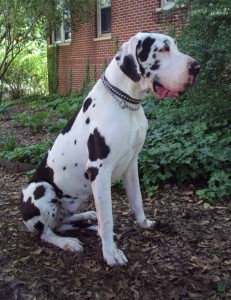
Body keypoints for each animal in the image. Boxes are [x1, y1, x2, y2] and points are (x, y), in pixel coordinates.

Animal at [20, 32, 200, 266]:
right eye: (163, 49)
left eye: (175, 46)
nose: (196, 67)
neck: (126, 103)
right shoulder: (100, 171)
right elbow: (107, 218)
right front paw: (110, 252)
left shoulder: (132, 163)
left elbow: (137, 200)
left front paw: (144, 223)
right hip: (40, 189)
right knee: (46, 233)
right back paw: (68, 242)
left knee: (63, 223)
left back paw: (87, 218)